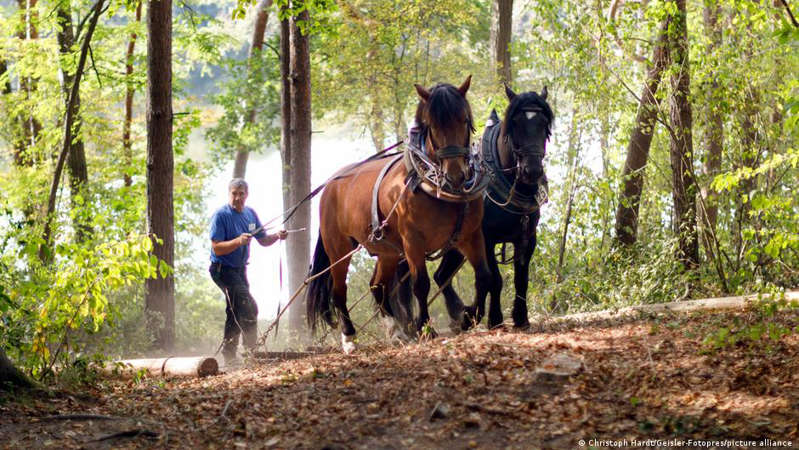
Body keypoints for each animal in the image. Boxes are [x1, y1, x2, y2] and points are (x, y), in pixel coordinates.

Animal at [308, 76, 490, 352]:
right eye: (432, 125)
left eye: (464, 120)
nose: (456, 175)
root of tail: (331, 184)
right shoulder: (413, 242)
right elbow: (421, 284)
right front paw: (426, 328)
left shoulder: (470, 236)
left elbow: (483, 275)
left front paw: (469, 317)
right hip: (338, 249)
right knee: (339, 291)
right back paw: (349, 338)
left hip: (387, 252)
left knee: (377, 286)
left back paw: (396, 332)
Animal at [396, 85, 556, 330]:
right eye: (515, 123)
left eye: (544, 123)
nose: (532, 171)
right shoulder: (485, 238)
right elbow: (495, 279)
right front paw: (495, 318)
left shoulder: (527, 237)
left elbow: (521, 279)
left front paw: (521, 317)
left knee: (441, 275)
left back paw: (458, 314)